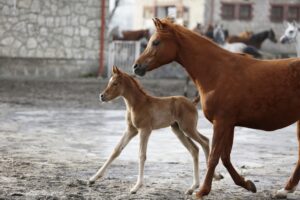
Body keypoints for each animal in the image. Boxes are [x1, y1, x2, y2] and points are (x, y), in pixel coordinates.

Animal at [89, 66, 223, 195]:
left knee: (204, 142)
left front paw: (136, 187)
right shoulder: (131, 130)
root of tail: (192, 102)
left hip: (188, 128)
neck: (137, 104)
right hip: (178, 130)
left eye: (115, 83)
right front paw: (93, 179)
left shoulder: (144, 130)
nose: (102, 96)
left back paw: (213, 178)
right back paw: (193, 187)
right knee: (194, 149)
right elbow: (116, 150)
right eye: (109, 82)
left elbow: (141, 155)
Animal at [133, 18, 300, 199]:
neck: (218, 72)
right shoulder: (229, 124)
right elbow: (225, 157)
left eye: (156, 42)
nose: (136, 66)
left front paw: (202, 190)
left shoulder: (221, 122)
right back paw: (285, 189)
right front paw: (246, 184)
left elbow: (213, 157)